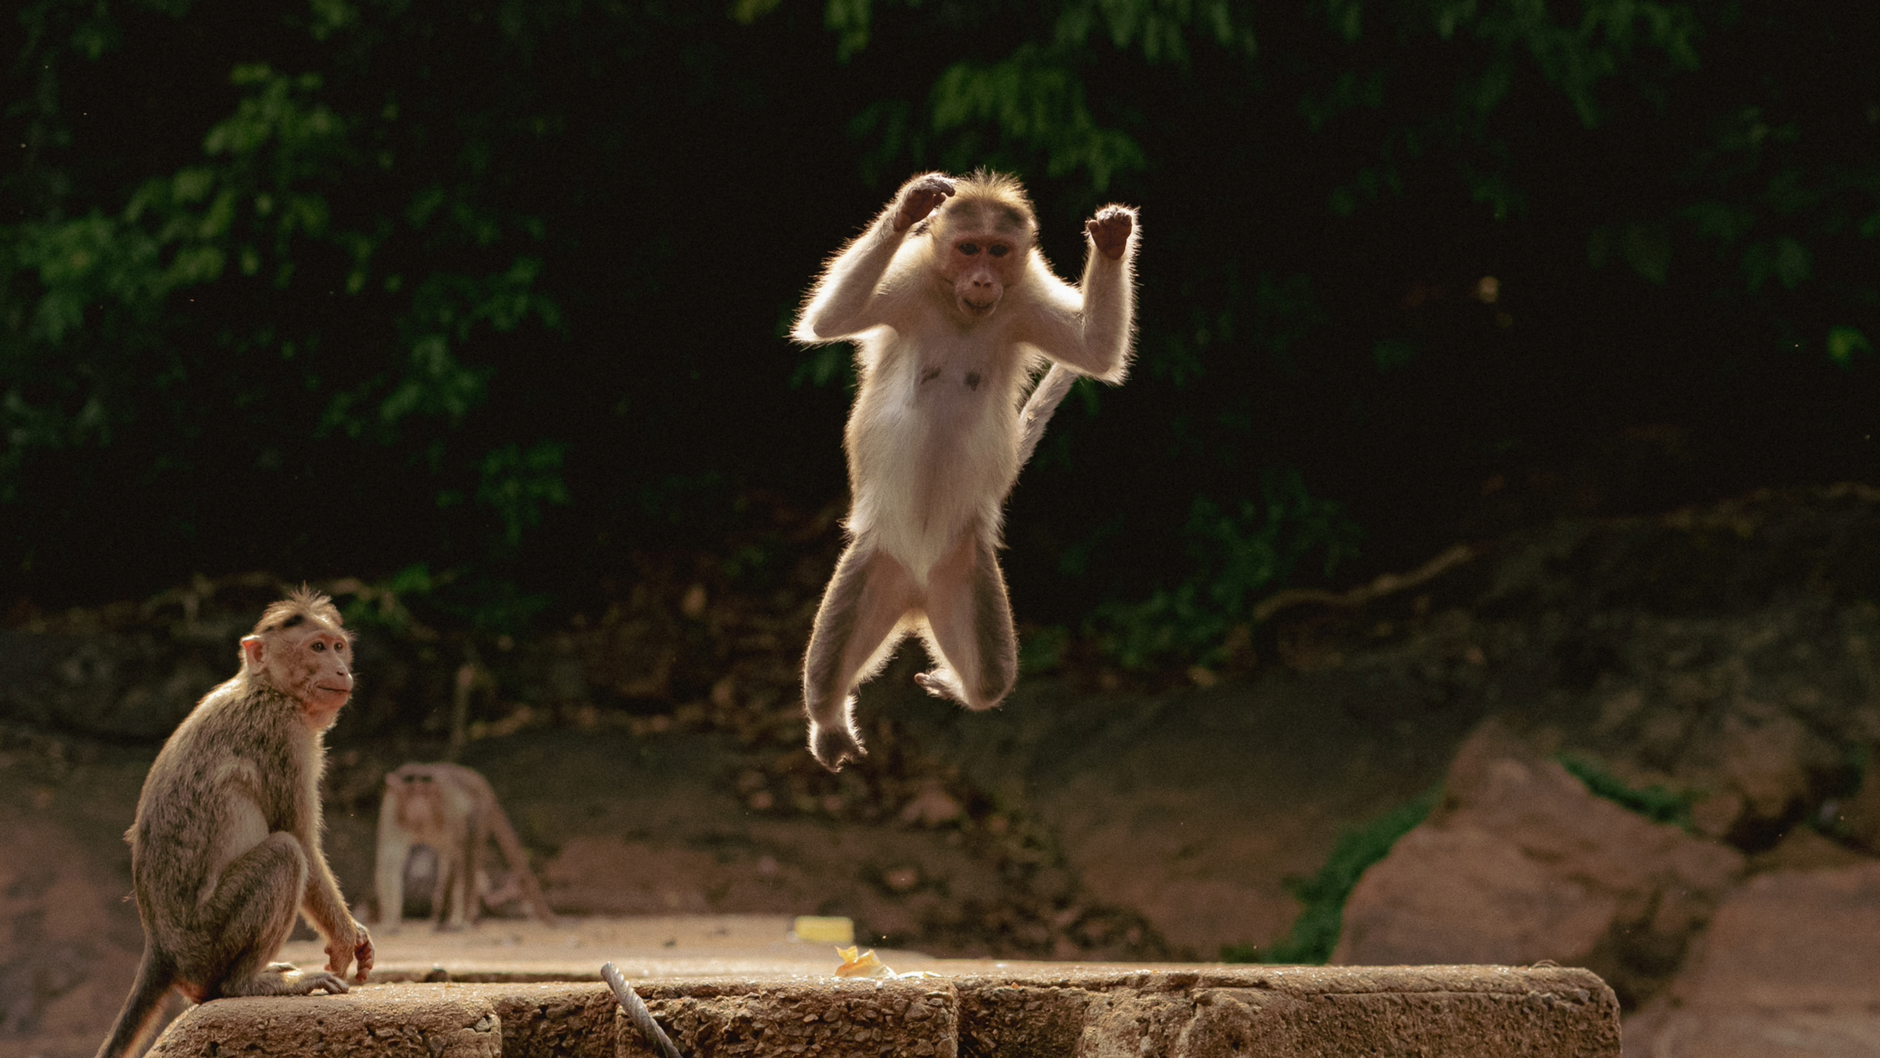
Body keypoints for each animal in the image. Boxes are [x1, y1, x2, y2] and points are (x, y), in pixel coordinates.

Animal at [95, 589, 374, 1058]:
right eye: (317, 647)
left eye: (338, 647)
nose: (342, 669)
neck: (265, 687)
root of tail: (161, 950)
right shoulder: (283, 735)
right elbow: (300, 837)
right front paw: (345, 936)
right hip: (207, 942)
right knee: (285, 853)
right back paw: (248, 983)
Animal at [373, 761, 556, 932]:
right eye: (410, 794)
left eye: (426, 793)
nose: (419, 805)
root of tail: (478, 779)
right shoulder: (392, 810)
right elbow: (389, 860)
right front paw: (390, 923)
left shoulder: (449, 809)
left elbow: (457, 855)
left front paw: (446, 913)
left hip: (480, 810)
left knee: (468, 855)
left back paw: (463, 918)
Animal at [792, 170, 1139, 771]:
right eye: (967, 248)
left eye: (997, 251)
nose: (981, 278)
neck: (960, 311)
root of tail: (915, 596)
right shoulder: (908, 283)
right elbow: (831, 319)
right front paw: (910, 206)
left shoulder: (1023, 301)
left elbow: (1094, 351)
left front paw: (1113, 241)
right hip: (873, 562)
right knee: (828, 667)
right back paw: (829, 720)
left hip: (965, 571)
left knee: (992, 677)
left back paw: (958, 687)